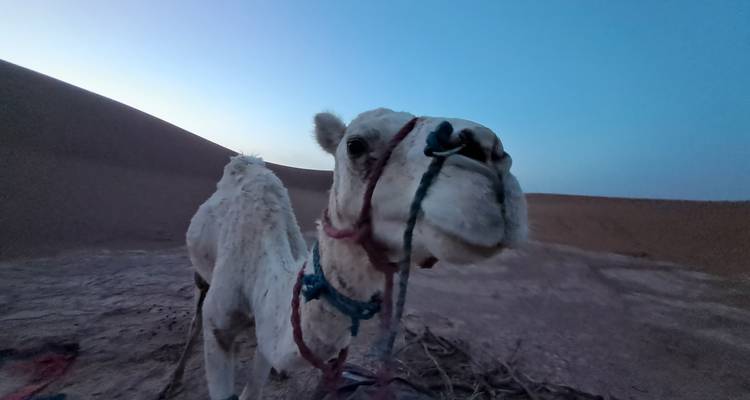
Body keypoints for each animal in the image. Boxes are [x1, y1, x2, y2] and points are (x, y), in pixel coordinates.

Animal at [160, 108, 528, 400]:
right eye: (356, 145)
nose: (489, 150)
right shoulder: (220, 324)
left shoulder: (267, 333)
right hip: (201, 277)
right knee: (196, 315)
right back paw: (172, 380)